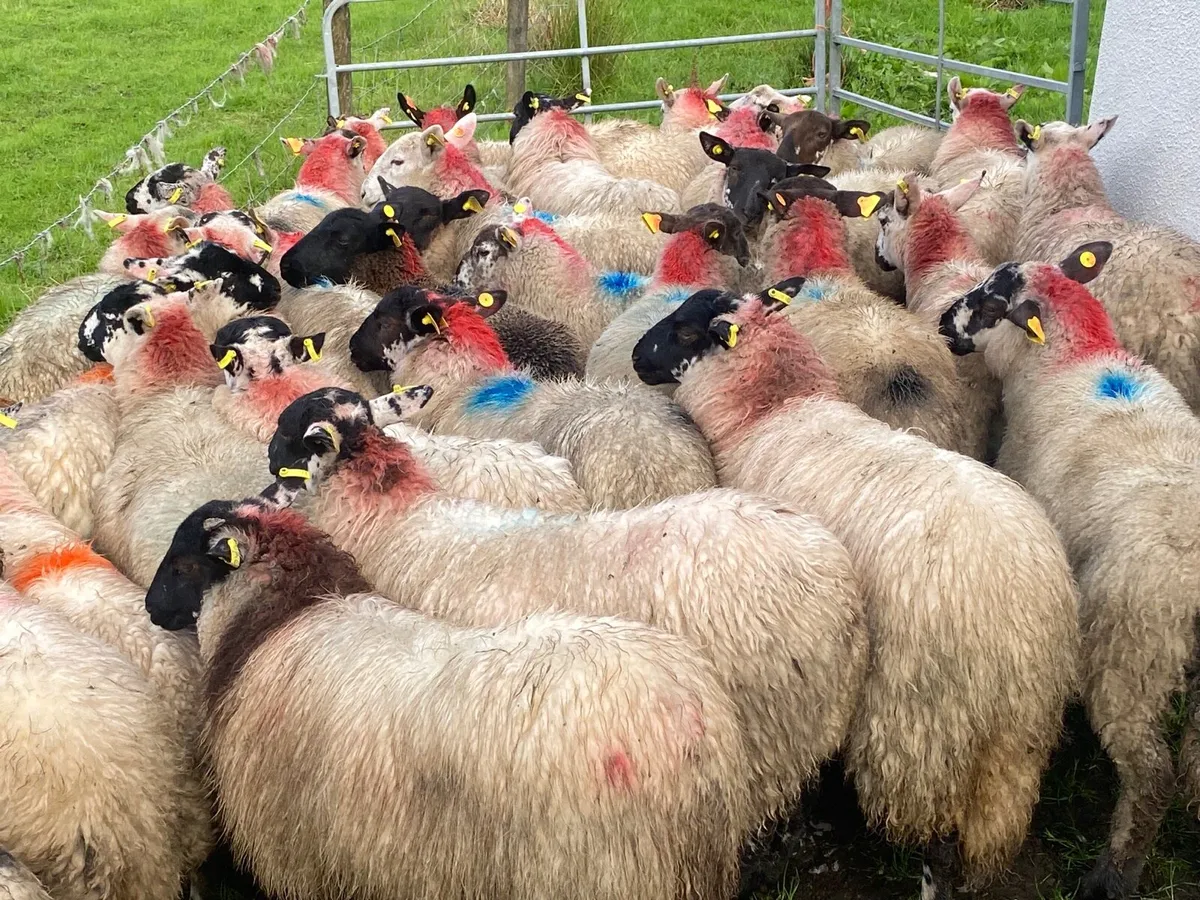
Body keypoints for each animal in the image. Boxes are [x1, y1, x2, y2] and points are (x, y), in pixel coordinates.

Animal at [146, 495, 755, 900]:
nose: (151, 609)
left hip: (605, 871)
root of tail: (683, 714)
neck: (280, 616)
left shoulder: (295, 850)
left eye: (181, 562)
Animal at [631, 282, 1079, 894]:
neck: (776, 410)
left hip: (926, 726)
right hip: (1017, 738)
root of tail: (1022, 606)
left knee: (933, 832)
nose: (636, 355)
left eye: (684, 330)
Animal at [937, 243, 1200, 900]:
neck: (1068, 358)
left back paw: (1112, 875)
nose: (943, 322)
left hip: (1131, 649)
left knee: (1151, 773)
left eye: (989, 303)